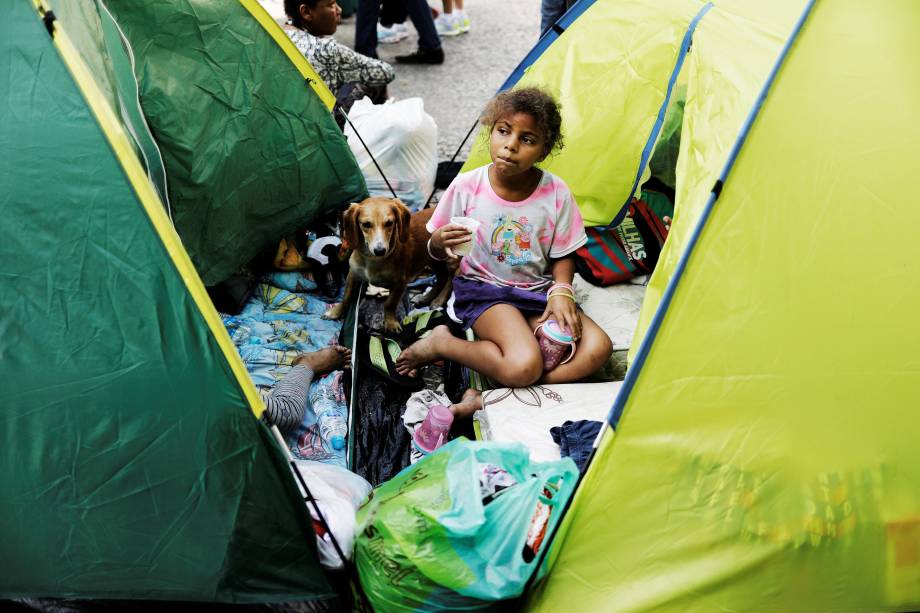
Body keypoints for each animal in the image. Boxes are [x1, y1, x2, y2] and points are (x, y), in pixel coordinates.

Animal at [324, 197, 452, 332]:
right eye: (366, 224)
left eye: (389, 223)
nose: (380, 251)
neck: (373, 260)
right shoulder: (353, 275)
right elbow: (346, 297)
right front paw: (336, 312)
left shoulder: (400, 284)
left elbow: (389, 304)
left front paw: (390, 323)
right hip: (433, 259)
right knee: (442, 278)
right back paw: (426, 298)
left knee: (450, 280)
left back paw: (438, 300)